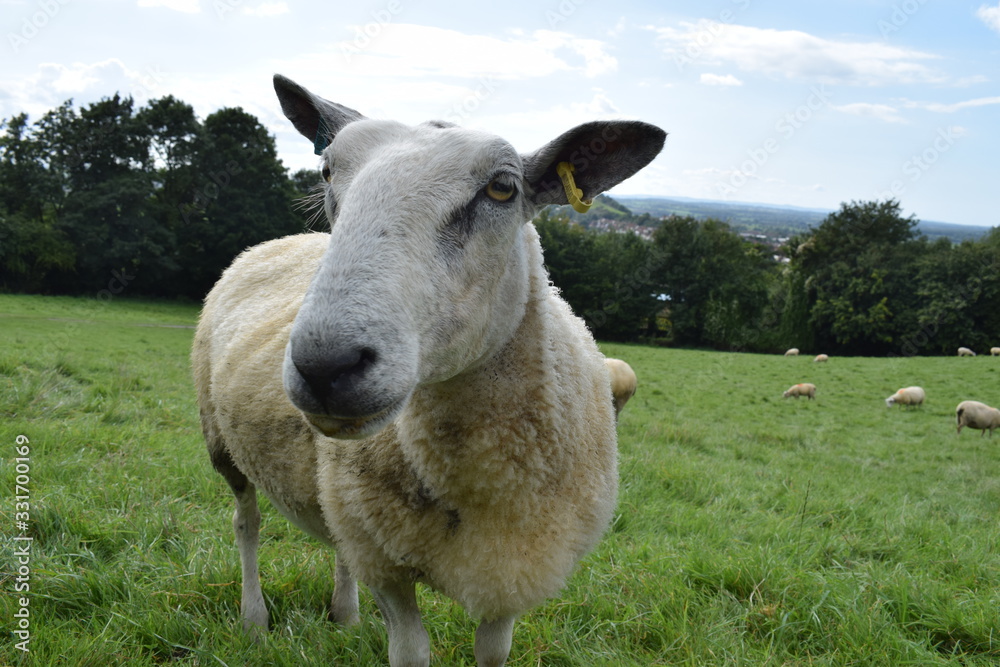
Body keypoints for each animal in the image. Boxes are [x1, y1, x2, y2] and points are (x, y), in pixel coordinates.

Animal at [192, 74, 666, 667]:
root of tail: (275, 242)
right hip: (221, 442)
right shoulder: (389, 570)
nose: (325, 365)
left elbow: (492, 652)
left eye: (503, 188)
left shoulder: (512, 567)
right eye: (327, 172)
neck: (477, 483)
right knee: (246, 522)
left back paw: (344, 615)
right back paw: (254, 618)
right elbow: (411, 654)